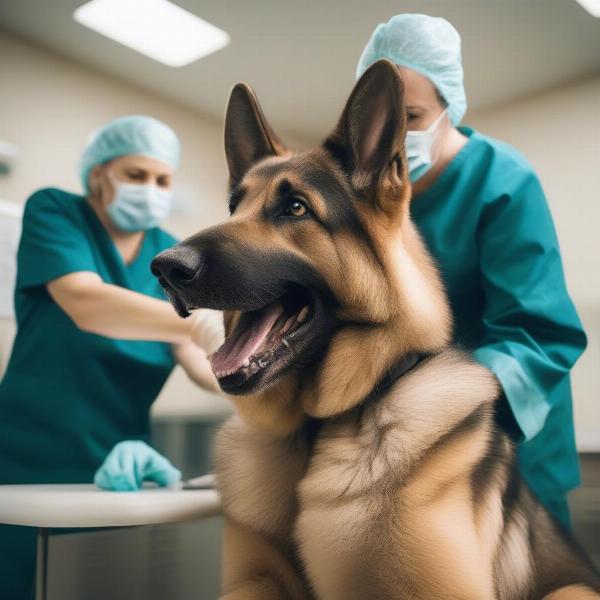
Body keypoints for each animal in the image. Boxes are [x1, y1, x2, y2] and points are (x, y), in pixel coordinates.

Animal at [151, 61, 600, 600]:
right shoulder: (253, 582)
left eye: (296, 208)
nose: (163, 267)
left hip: (571, 590)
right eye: (233, 208)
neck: (316, 431)